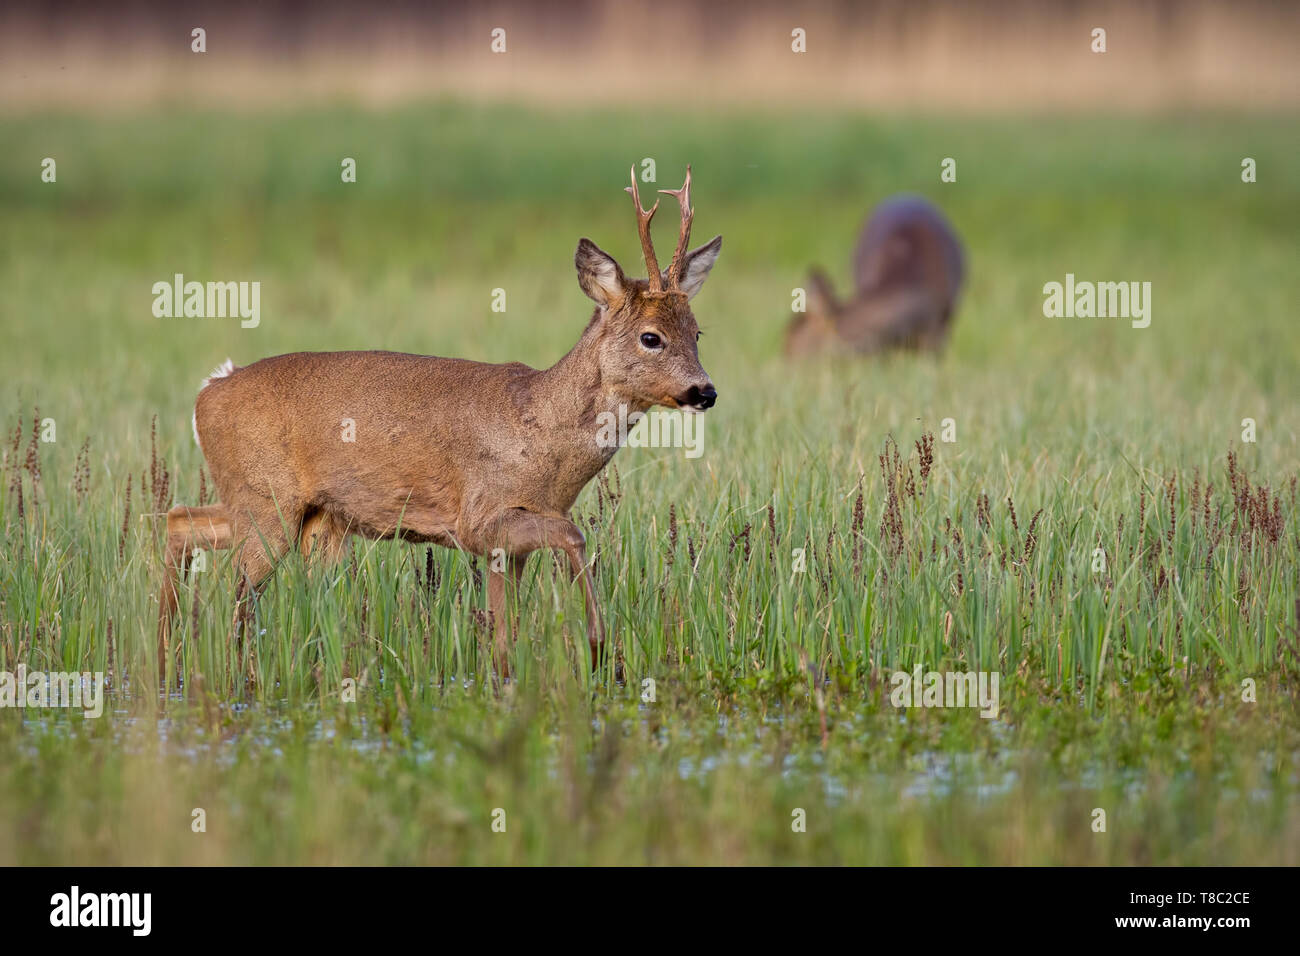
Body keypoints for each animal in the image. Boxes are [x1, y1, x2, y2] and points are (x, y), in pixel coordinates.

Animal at [159, 167, 722, 686]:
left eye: (697, 333)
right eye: (651, 337)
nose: (705, 392)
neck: (542, 432)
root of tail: (207, 392)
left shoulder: (507, 545)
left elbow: (506, 630)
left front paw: (514, 676)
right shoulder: (480, 518)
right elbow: (574, 536)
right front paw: (602, 651)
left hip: (306, 519)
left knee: (178, 521)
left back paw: (168, 656)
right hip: (266, 502)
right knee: (235, 590)